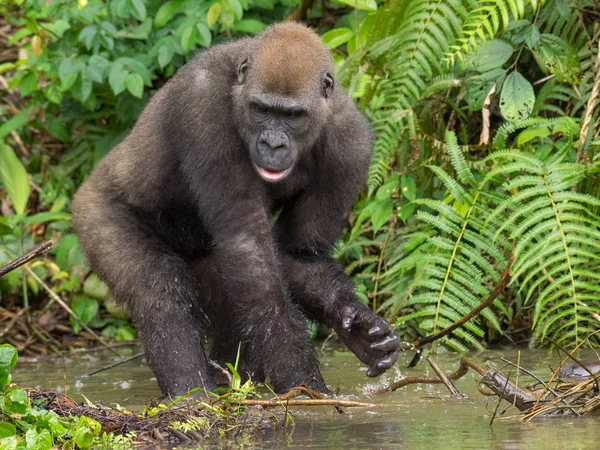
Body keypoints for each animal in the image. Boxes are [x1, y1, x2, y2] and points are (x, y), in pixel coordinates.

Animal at [71, 22, 398, 398]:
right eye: (261, 109)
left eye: (293, 115)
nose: (272, 144)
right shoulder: (203, 104)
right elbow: (248, 250)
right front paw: (304, 383)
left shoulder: (352, 142)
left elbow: (299, 254)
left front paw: (354, 324)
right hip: (93, 210)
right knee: (159, 287)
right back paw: (190, 394)